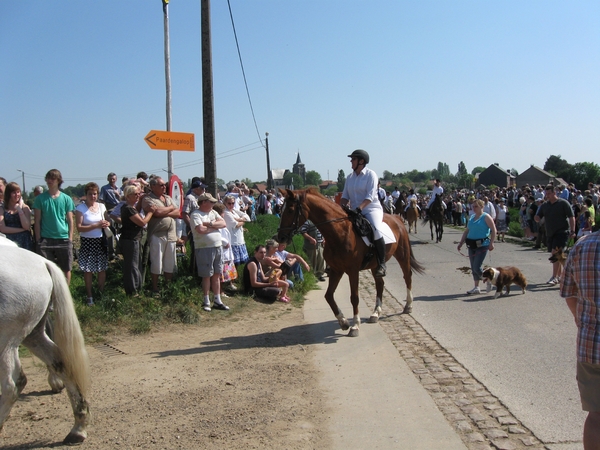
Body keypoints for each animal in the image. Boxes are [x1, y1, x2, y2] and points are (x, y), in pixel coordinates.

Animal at [0, 237, 90, 444]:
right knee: (61, 364)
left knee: (12, 385)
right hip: (32, 335)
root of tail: (42, 262)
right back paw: (78, 428)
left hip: (6, 340)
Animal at [278, 187, 424, 338]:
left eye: (290, 210)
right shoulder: (336, 270)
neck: (340, 232)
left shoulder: (353, 271)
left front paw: (355, 326)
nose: (280, 237)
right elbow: (328, 296)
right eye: (281, 209)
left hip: (402, 256)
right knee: (380, 284)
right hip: (375, 265)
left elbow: (354, 297)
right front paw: (343, 322)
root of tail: (396, 218)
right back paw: (376, 313)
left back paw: (408, 306)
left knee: (407, 276)